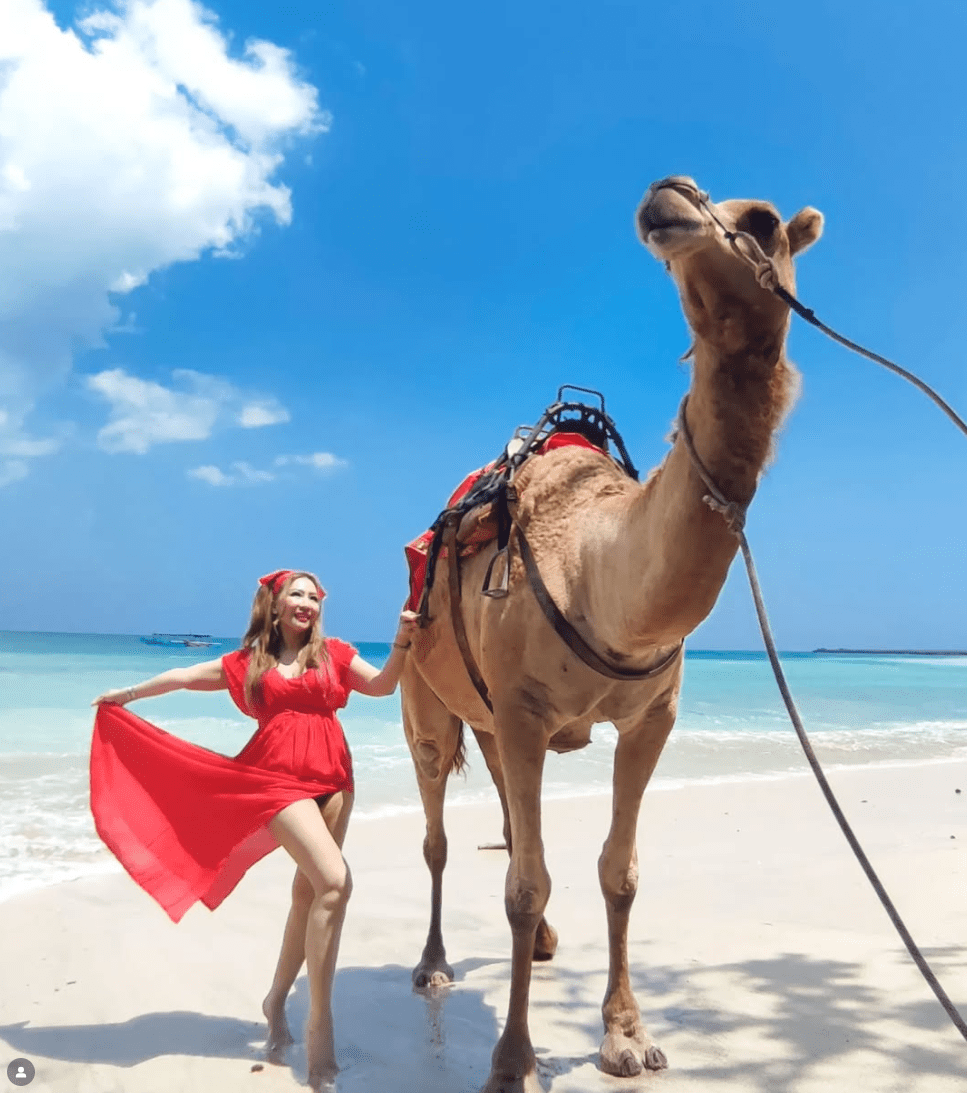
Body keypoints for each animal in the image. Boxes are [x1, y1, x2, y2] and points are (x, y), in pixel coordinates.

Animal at [398, 175, 824, 1092]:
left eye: (762, 222)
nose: (668, 195)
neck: (598, 572)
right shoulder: (525, 711)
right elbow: (525, 882)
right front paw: (511, 1060)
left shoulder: (649, 717)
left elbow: (616, 871)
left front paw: (627, 1037)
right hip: (425, 695)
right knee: (441, 830)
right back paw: (434, 963)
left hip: (492, 720)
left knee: (508, 819)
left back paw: (543, 944)